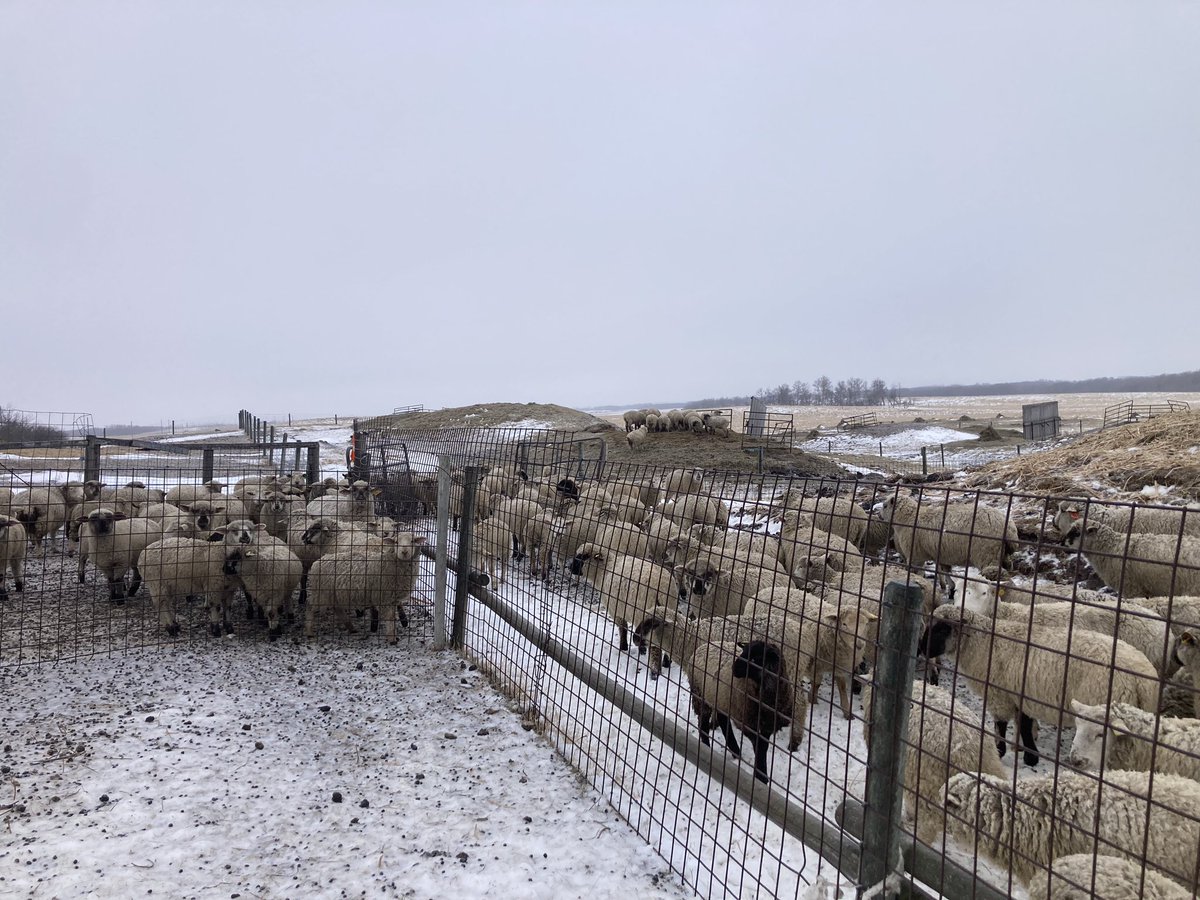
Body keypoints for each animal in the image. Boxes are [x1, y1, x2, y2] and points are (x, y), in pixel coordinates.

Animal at [880, 493, 1018, 593]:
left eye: (885, 506)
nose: (879, 517)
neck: (909, 518)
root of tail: (1009, 528)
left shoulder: (915, 555)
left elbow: (918, 572)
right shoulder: (940, 553)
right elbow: (943, 570)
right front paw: (949, 586)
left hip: (986, 554)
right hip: (1002, 553)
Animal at [923, 604, 1161, 766]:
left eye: (942, 629)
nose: (920, 648)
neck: (983, 643)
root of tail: (1143, 679)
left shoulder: (999, 694)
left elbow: (1001, 724)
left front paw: (1001, 751)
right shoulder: (1022, 693)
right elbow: (1025, 724)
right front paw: (1030, 756)